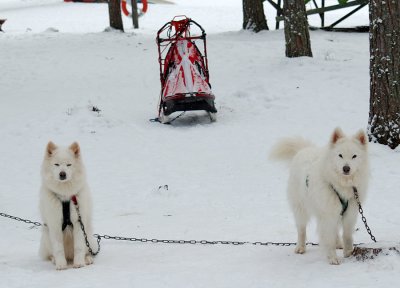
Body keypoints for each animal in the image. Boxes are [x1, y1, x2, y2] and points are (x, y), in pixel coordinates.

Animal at [38, 142, 95, 270]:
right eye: (57, 164)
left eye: (69, 165)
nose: (62, 174)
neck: (65, 196)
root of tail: (69, 256)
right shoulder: (55, 224)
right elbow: (58, 248)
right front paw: (61, 265)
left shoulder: (79, 222)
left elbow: (79, 246)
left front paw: (79, 263)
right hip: (46, 234)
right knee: (50, 253)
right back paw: (54, 259)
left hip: (88, 234)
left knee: (87, 250)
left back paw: (87, 259)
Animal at [270, 128, 370, 266]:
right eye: (340, 155)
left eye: (354, 156)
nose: (346, 168)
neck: (341, 185)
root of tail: (303, 149)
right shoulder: (328, 214)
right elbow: (328, 238)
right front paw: (333, 258)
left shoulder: (350, 212)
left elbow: (347, 235)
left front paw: (349, 252)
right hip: (301, 208)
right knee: (301, 229)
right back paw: (300, 247)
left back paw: (339, 243)